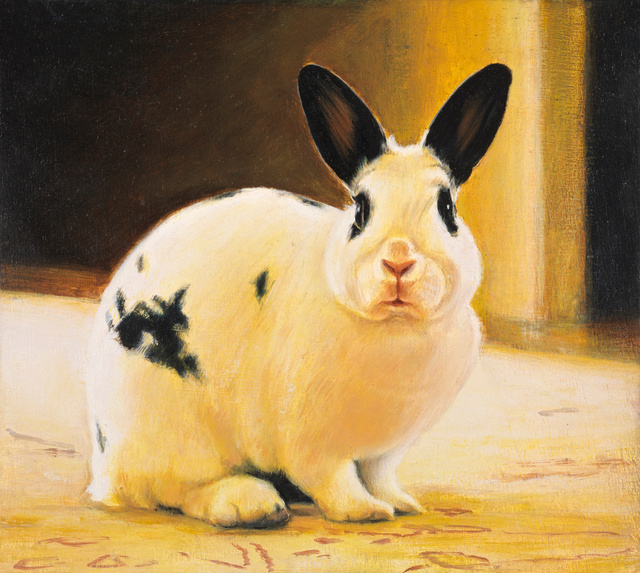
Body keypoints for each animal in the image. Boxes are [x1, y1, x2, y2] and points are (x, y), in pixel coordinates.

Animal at [86, 63, 511, 527]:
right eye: (361, 210)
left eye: (446, 208)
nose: (398, 261)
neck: (396, 329)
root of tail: (105, 466)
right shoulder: (315, 445)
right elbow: (334, 481)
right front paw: (365, 512)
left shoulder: (385, 453)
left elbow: (380, 477)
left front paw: (401, 504)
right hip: (176, 436)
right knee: (179, 491)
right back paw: (253, 505)